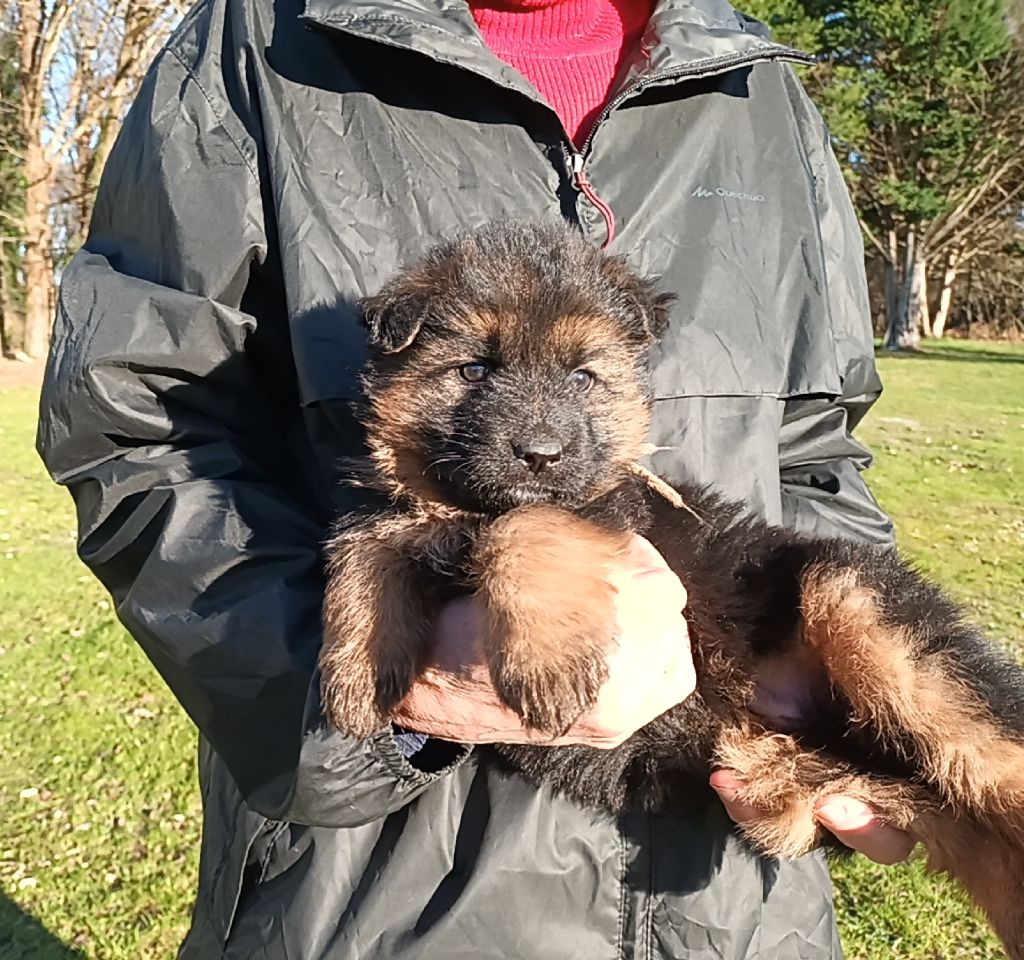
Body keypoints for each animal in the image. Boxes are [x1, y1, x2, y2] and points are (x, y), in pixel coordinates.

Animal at [319, 219, 1024, 949]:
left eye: (583, 377)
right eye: (474, 370)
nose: (541, 454)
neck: (465, 510)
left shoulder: (604, 506)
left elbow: (530, 525)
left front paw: (545, 663)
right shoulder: (405, 516)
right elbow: (363, 546)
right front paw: (357, 675)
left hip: (860, 607)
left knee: (990, 755)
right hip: (815, 779)